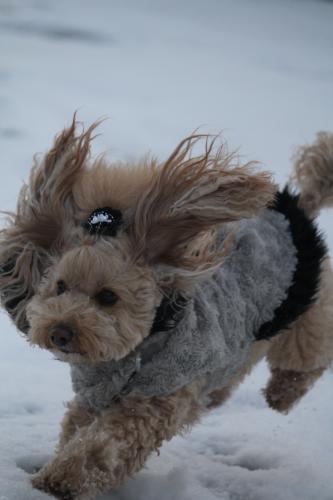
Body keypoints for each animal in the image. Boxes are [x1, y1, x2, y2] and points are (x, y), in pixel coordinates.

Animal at [0, 118, 332, 500]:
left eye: (108, 297)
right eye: (60, 286)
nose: (60, 333)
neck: (141, 344)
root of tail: (299, 210)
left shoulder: (155, 397)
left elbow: (106, 444)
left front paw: (62, 479)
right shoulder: (94, 394)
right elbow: (77, 427)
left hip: (305, 308)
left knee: (306, 356)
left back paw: (283, 392)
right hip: (245, 340)